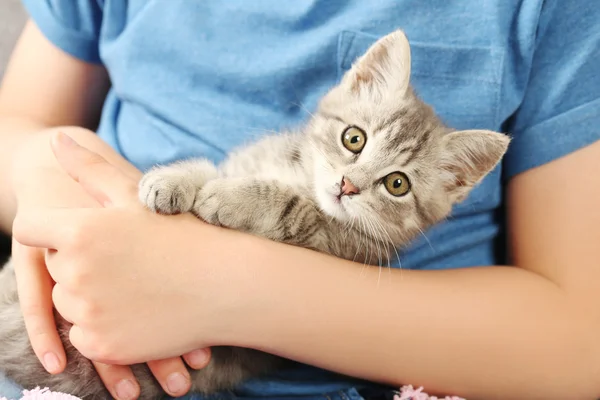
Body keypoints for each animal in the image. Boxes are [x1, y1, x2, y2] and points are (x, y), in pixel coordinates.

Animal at [0, 31, 510, 400]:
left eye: (397, 184)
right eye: (354, 138)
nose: (348, 185)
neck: (299, 173)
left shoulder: (337, 244)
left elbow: (290, 207)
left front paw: (229, 199)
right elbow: (211, 169)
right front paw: (173, 180)